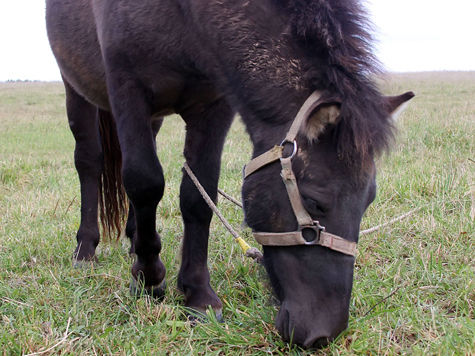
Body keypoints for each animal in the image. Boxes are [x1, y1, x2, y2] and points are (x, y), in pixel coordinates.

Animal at [46, 0, 414, 348]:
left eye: (368, 201)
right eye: (314, 202)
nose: (324, 332)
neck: (182, 14)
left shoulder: (213, 104)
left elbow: (198, 196)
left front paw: (197, 293)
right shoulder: (128, 90)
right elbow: (145, 181)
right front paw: (149, 277)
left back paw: (134, 238)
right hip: (77, 91)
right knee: (90, 163)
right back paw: (86, 249)